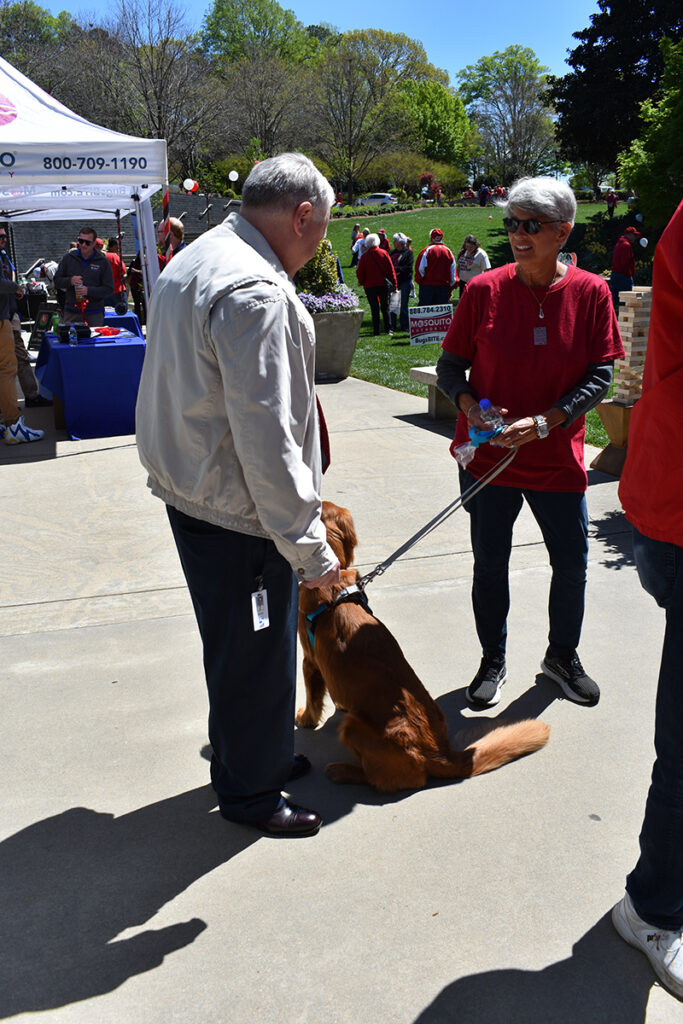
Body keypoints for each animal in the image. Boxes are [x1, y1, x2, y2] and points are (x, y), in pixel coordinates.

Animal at [299, 501, 548, 790]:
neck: (336, 590)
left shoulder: (309, 660)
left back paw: (343, 771)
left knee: (394, 780)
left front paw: (305, 719)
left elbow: (313, 697)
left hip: (353, 728)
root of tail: (440, 753)